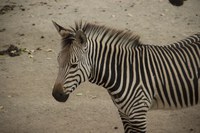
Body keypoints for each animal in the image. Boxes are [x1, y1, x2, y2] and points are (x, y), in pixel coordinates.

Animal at [52, 21, 200, 133]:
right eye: (58, 60)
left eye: (74, 65)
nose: (56, 95)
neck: (124, 71)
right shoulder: (124, 114)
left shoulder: (138, 115)